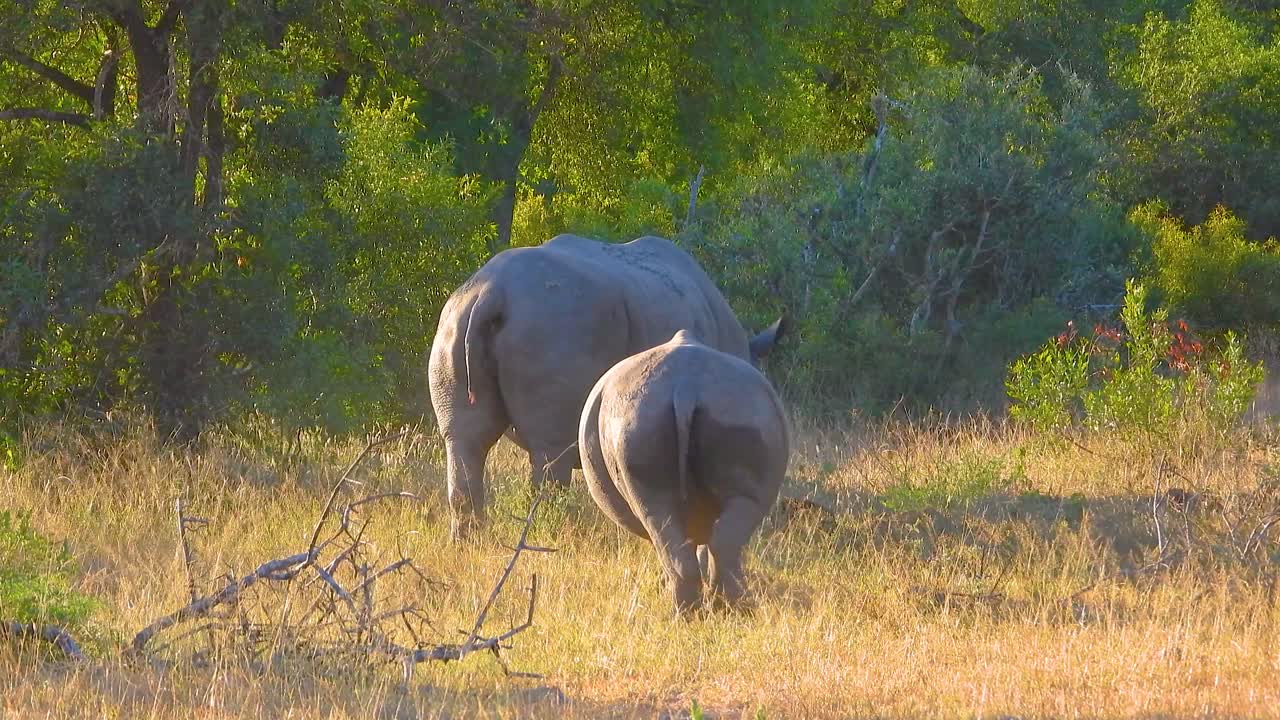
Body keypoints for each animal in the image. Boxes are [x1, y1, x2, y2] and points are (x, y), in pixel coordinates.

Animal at [428, 234, 784, 538]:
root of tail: (492, 292)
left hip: (455, 318)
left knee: (464, 440)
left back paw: (470, 541)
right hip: (553, 322)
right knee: (549, 448)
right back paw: (552, 535)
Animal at [578, 330, 790, 615]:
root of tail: (685, 387)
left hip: (642, 419)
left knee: (658, 513)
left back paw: (702, 611)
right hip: (730, 411)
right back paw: (721, 610)